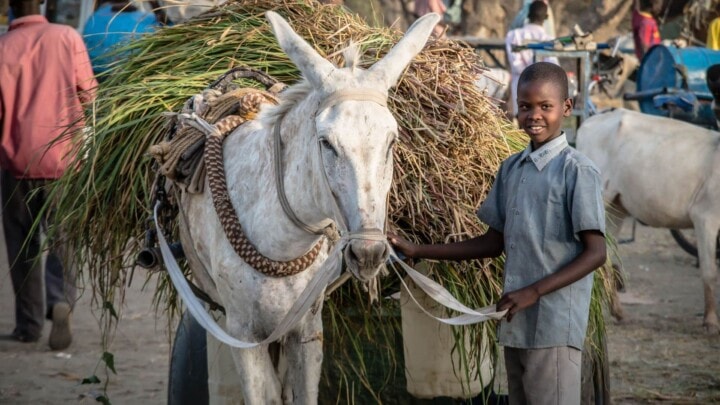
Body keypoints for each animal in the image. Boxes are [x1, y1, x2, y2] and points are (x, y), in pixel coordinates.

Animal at [176, 11, 442, 402]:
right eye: (326, 143)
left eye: (392, 141)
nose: (368, 253)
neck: (281, 241)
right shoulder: (243, 336)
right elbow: (264, 394)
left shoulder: (306, 329)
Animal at [576, 107, 720, 332]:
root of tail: (589, 122)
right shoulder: (706, 217)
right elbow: (709, 271)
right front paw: (711, 321)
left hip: (616, 208)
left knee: (606, 259)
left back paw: (619, 312)